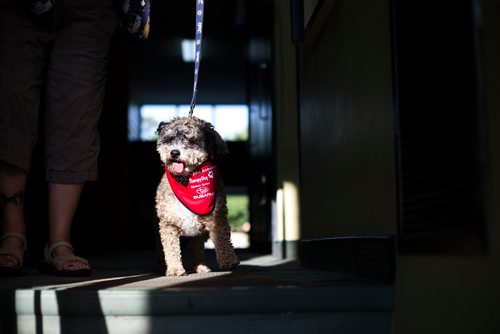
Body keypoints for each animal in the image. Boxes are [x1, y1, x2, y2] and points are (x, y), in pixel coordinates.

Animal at [154, 116, 240, 276]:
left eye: (191, 141)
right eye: (170, 138)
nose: (174, 152)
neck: (185, 180)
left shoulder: (217, 217)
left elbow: (223, 240)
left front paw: (229, 260)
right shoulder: (168, 223)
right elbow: (171, 248)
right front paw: (175, 269)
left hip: (199, 232)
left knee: (197, 249)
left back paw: (199, 266)